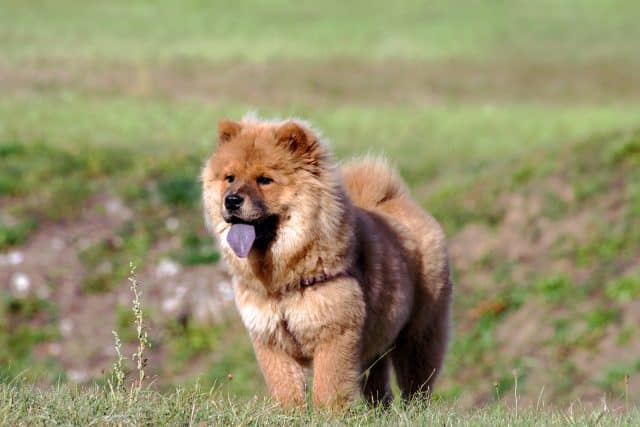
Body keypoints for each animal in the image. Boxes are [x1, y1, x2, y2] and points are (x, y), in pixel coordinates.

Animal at [202, 115, 452, 410]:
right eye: (229, 178)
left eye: (265, 180)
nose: (231, 200)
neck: (281, 279)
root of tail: (400, 202)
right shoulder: (271, 340)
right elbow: (285, 387)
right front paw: (291, 414)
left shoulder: (334, 333)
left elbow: (327, 388)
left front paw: (326, 414)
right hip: (376, 343)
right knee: (378, 385)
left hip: (419, 333)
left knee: (416, 383)